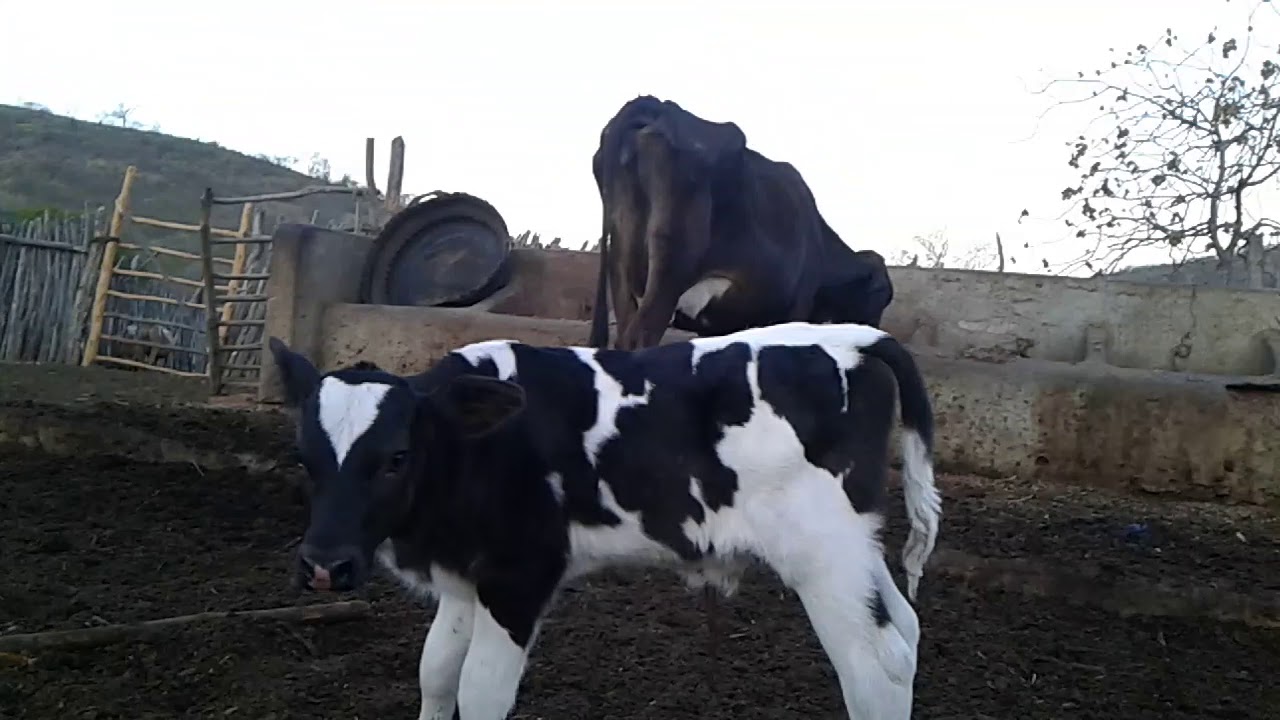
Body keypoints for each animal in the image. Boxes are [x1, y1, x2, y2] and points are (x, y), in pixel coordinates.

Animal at [268, 321, 941, 720]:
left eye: (397, 457)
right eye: (303, 455)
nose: (324, 566)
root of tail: (852, 336)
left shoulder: (520, 576)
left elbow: (481, 691)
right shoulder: (466, 578)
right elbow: (435, 674)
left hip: (821, 551)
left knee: (875, 660)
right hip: (852, 545)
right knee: (905, 632)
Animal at [588, 95, 894, 352]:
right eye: (881, 296)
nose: (876, 333)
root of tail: (656, 106)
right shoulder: (795, 307)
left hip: (622, 271)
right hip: (669, 270)